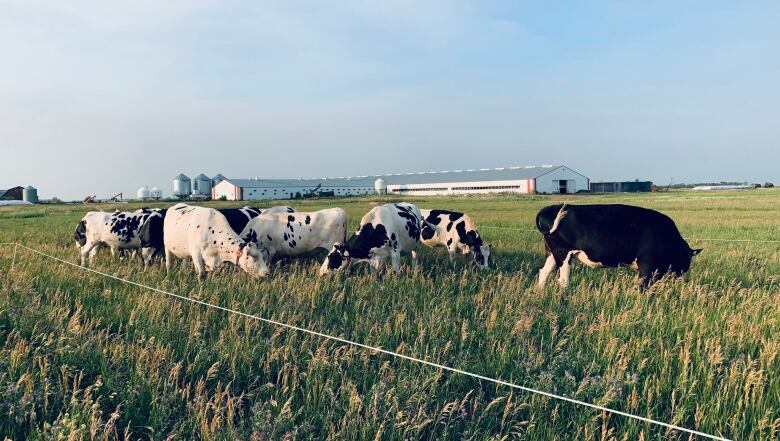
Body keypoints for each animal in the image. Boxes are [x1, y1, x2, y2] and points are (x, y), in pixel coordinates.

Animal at [532, 204, 704, 288]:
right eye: (686, 260)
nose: (680, 275)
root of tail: (548, 209)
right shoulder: (647, 265)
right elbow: (644, 287)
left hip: (551, 253)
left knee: (543, 272)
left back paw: (540, 293)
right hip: (563, 253)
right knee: (563, 280)